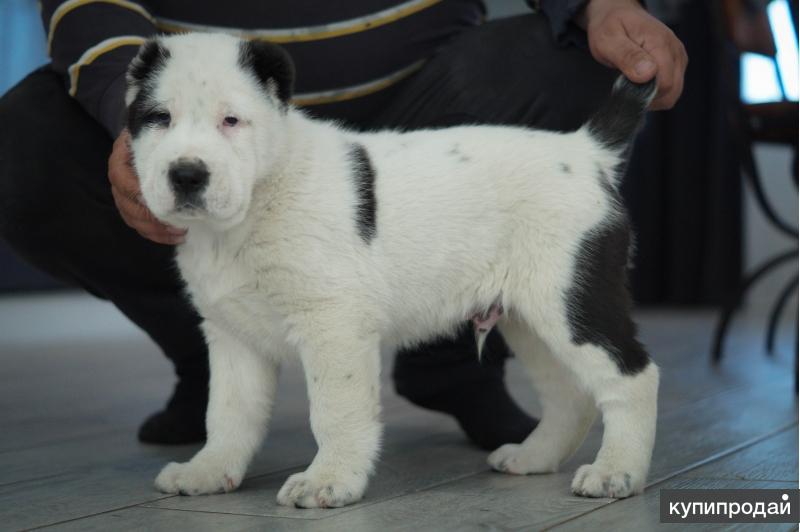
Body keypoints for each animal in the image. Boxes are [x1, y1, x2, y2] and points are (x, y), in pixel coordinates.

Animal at [128, 32, 660, 508]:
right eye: (160, 119)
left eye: (232, 120)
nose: (187, 174)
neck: (254, 204)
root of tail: (584, 150)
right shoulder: (232, 332)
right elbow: (229, 412)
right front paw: (208, 471)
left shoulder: (333, 325)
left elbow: (335, 410)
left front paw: (329, 480)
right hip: (529, 318)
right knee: (570, 394)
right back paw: (534, 458)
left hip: (572, 298)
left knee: (632, 377)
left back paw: (616, 472)